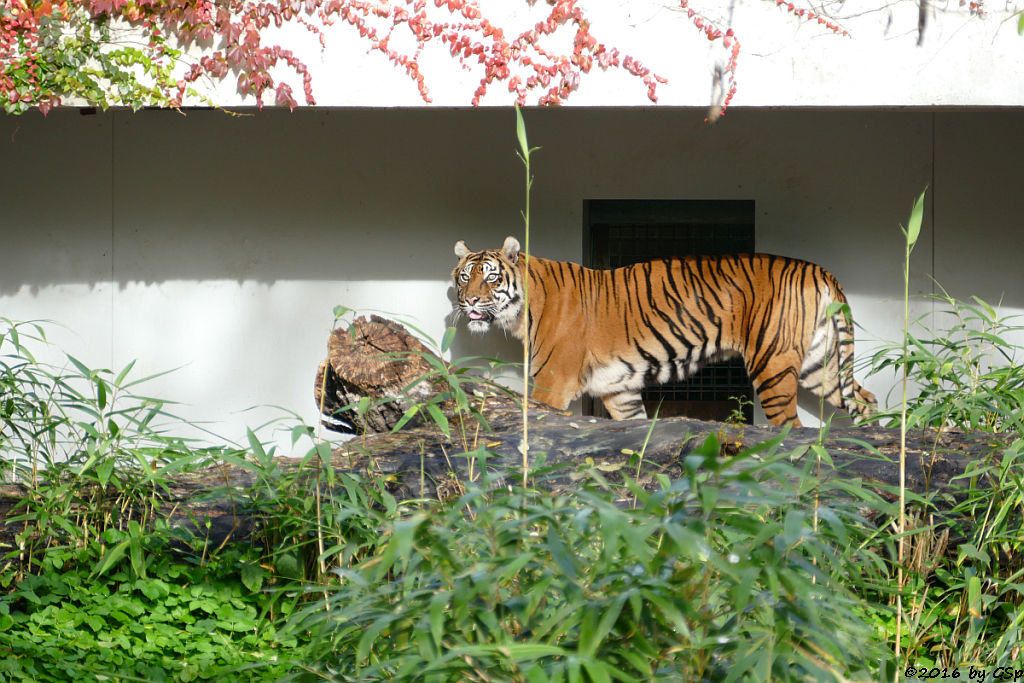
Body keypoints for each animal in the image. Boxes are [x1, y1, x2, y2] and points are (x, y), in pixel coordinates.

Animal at [452, 236, 876, 428]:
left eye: (490, 277)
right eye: (463, 277)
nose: (469, 301)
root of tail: (820, 269)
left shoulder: (552, 385)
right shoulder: (620, 390)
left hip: (773, 365)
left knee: (791, 428)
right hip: (820, 365)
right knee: (866, 400)